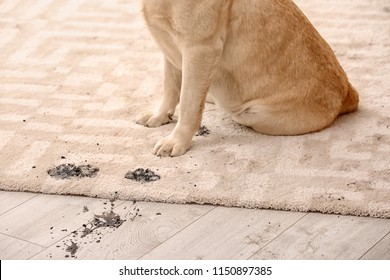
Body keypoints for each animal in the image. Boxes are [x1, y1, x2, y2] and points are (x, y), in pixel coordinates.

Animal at [136, 0, 358, 158]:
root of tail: (347, 92)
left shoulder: (199, 49)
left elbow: (188, 105)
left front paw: (177, 141)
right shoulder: (170, 49)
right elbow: (170, 87)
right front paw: (160, 115)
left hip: (253, 113)